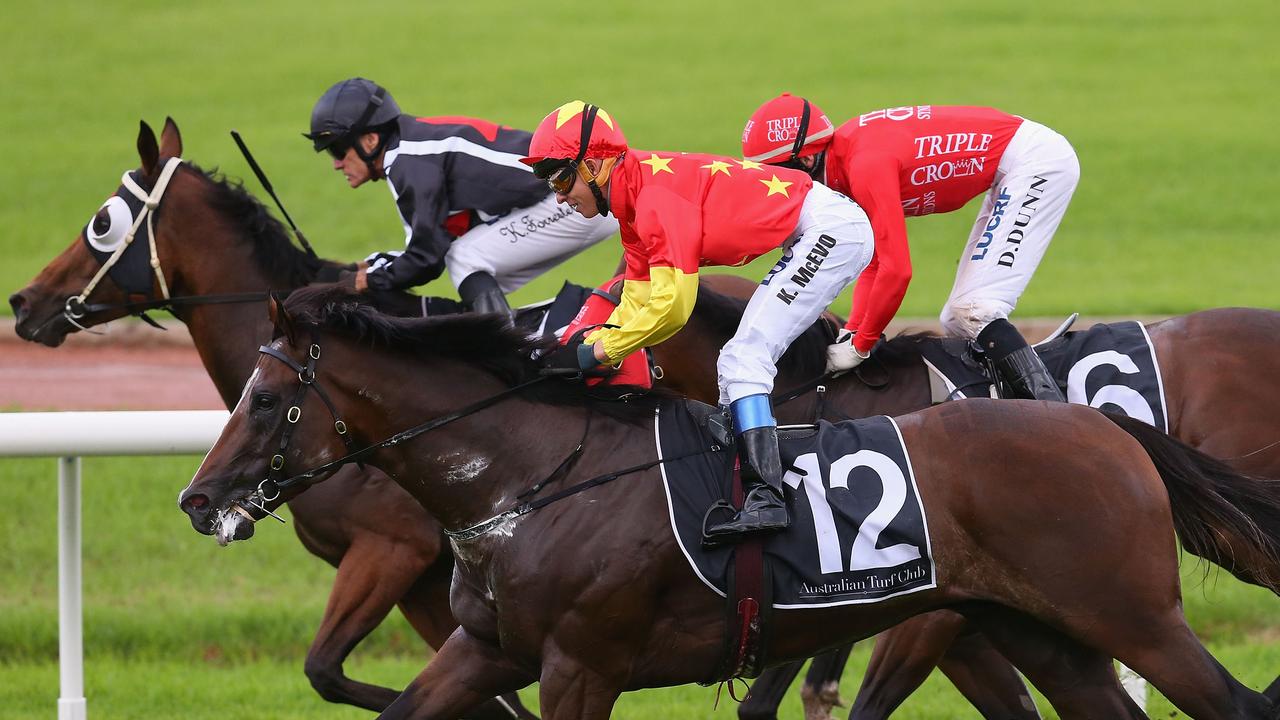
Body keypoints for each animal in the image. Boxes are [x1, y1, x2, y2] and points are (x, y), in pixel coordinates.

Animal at [177, 284, 1280, 717]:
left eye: (264, 398)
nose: (197, 499)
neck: (531, 477)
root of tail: (1101, 429)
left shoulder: (582, 665)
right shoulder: (490, 647)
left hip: (1129, 616)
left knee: (1231, 702)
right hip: (1040, 630)